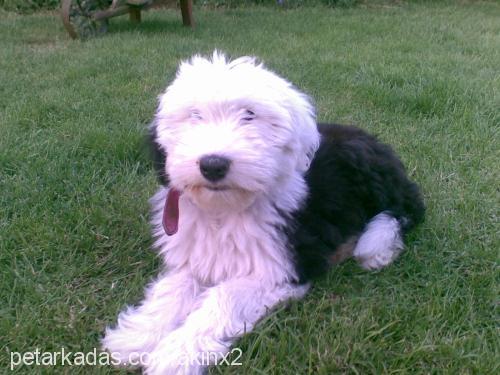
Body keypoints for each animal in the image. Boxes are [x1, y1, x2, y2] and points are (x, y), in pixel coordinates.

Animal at [102, 53, 426, 375]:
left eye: (249, 115)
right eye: (194, 115)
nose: (213, 164)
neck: (225, 209)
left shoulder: (282, 267)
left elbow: (225, 296)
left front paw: (176, 354)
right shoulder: (194, 258)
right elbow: (173, 289)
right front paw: (137, 337)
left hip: (368, 169)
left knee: (406, 207)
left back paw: (375, 246)